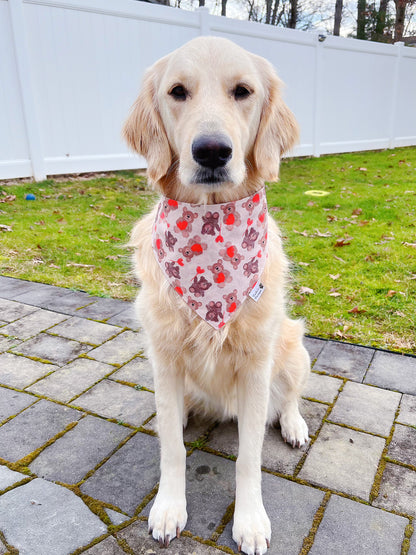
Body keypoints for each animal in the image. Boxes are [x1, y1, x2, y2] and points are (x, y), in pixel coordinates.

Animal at [123, 38, 308, 555]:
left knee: (289, 398)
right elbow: (171, 447)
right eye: (177, 91)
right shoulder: (164, 359)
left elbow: (249, 456)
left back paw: (294, 425)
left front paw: (250, 520)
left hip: (292, 347)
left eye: (242, 91)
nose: (211, 151)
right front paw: (169, 507)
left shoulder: (257, 363)